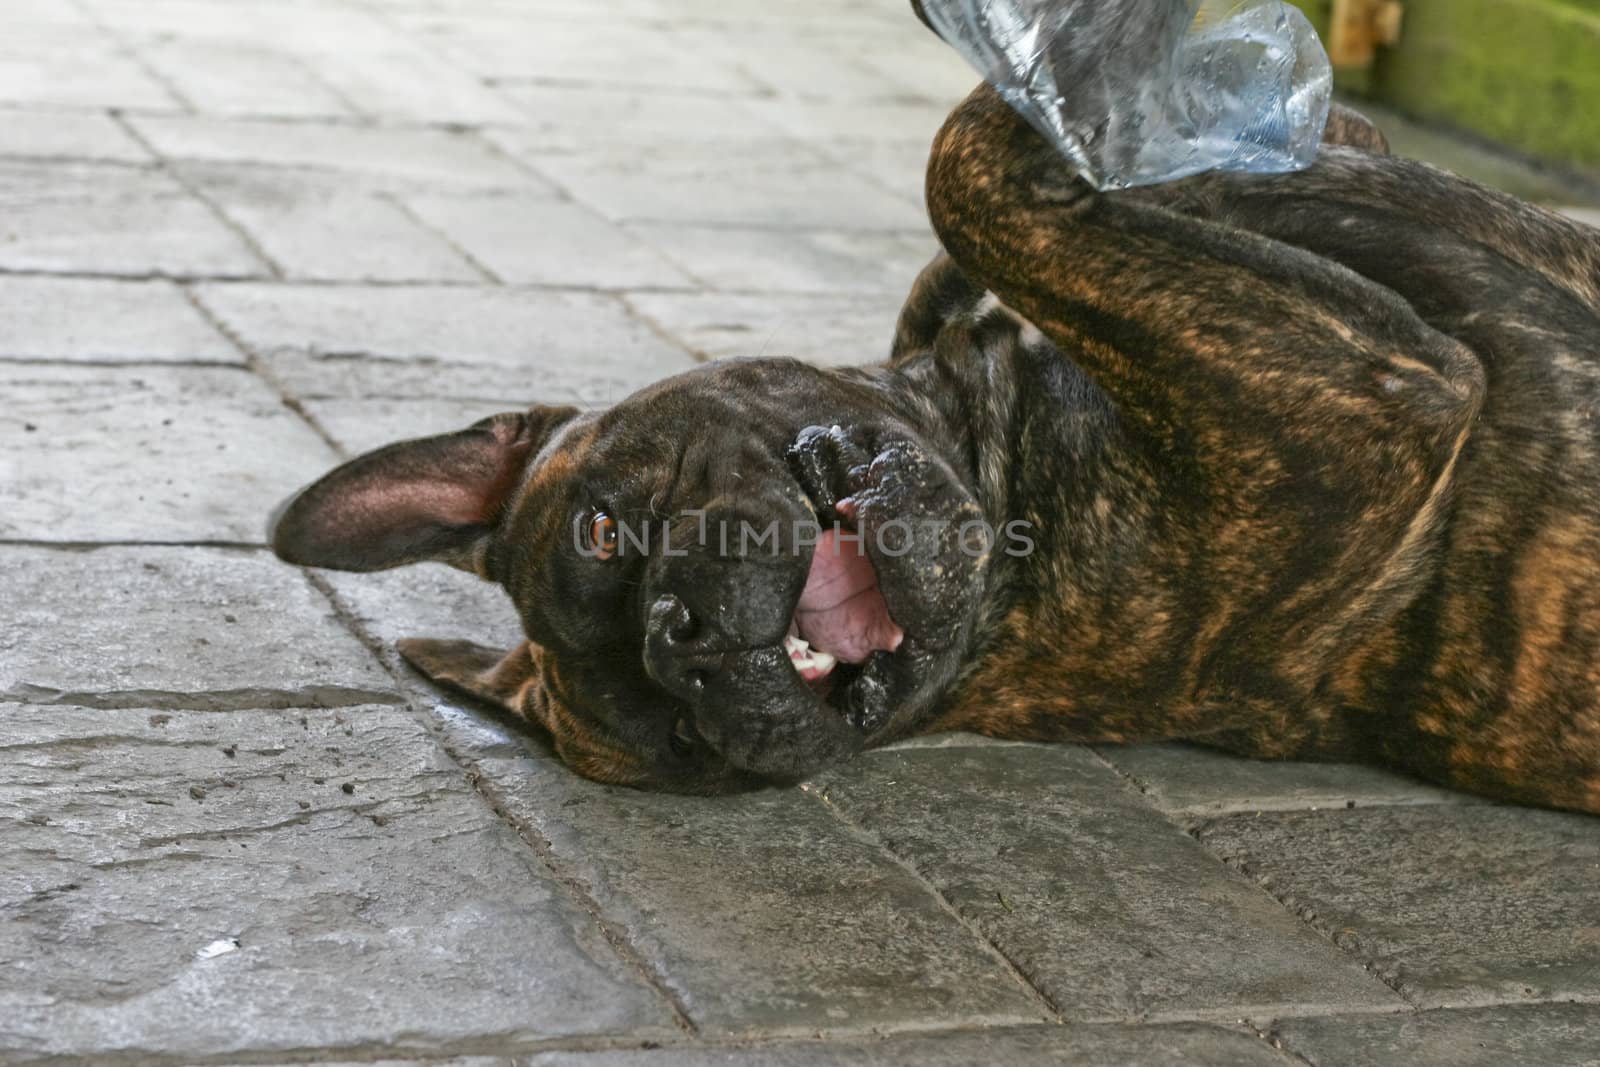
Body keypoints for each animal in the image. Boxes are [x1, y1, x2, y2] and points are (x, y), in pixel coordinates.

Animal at [268, 81, 1600, 809]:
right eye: (684, 738)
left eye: (601, 524)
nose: (680, 633)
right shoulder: (1375, 391)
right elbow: (963, 169)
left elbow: (963, 243)